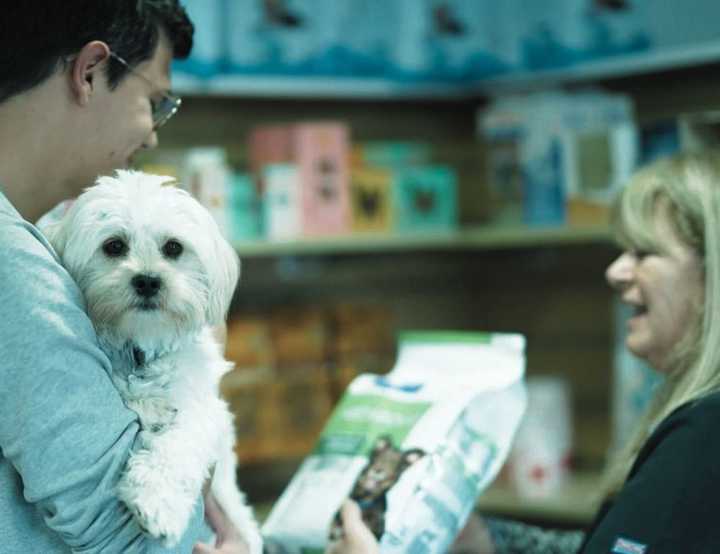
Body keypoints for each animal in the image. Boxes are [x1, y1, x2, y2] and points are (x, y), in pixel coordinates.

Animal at [41, 170, 262, 548]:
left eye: (173, 247)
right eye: (114, 246)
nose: (147, 281)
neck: (140, 348)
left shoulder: (202, 410)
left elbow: (176, 446)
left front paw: (156, 505)